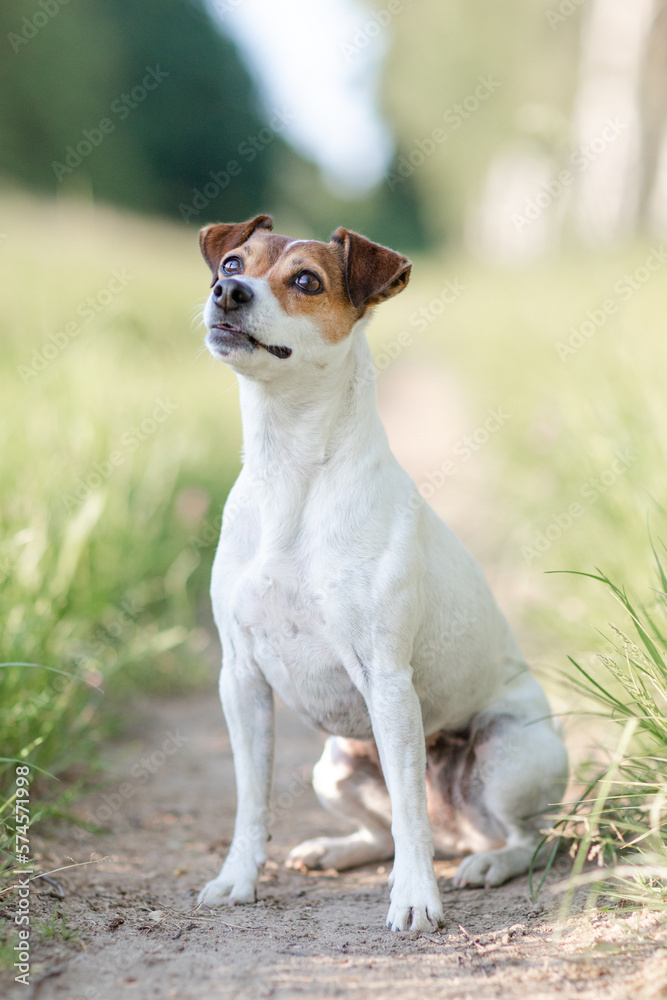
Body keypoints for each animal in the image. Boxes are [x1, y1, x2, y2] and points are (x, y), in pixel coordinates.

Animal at [196, 213, 568, 928]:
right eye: (232, 264)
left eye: (306, 282)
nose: (229, 294)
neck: (292, 476)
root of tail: (462, 831)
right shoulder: (241, 679)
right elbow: (251, 802)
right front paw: (236, 879)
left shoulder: (388, 680)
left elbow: (409, 816)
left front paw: (416, 900)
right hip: (333, 768)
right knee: (384, 828)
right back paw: (337, 849)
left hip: (508, 753)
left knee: (528, 839)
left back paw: (487, 863)